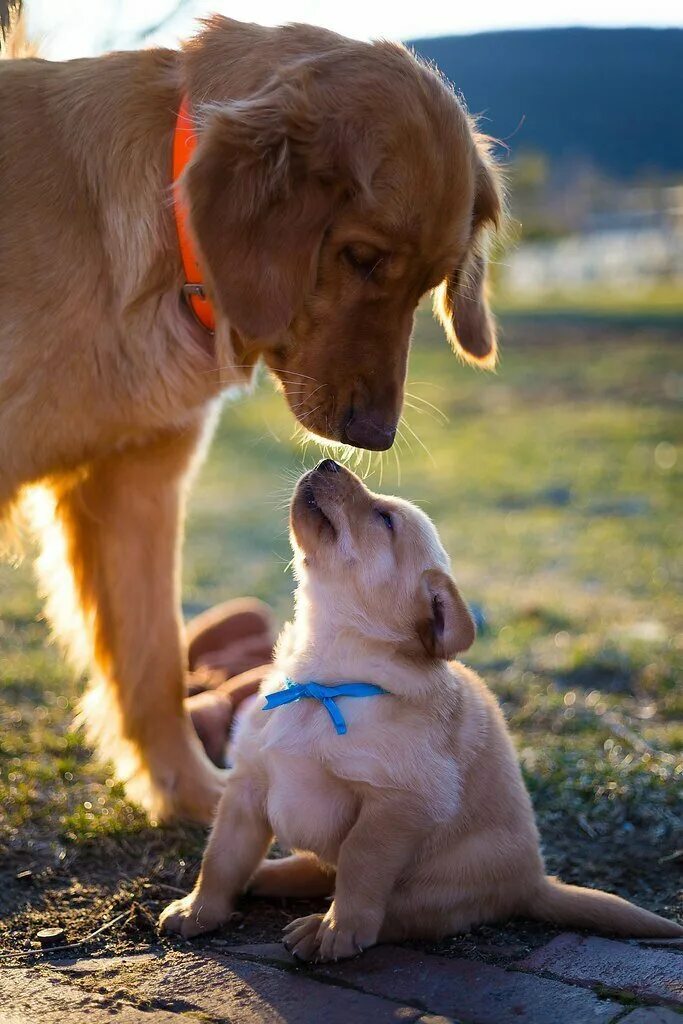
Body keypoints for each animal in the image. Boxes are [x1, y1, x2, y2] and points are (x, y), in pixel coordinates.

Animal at [0, 14, 501, 823]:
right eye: (361, 256)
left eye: (432, 282)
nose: (375, 437)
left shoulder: (136, 489)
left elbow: (152, 661)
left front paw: (193, 796)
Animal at [160, 460, 683, 954]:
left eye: (384, 519)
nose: (329, 461)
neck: (321, 680)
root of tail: (535, 883)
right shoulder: (247, 784)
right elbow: (220, 858)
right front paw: (199, 910)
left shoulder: (398, 804)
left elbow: (360, 866)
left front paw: (338, 930)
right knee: (319, 871)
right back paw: (267, 877)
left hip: (444, 881)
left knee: (392, 914)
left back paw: (317, 925)